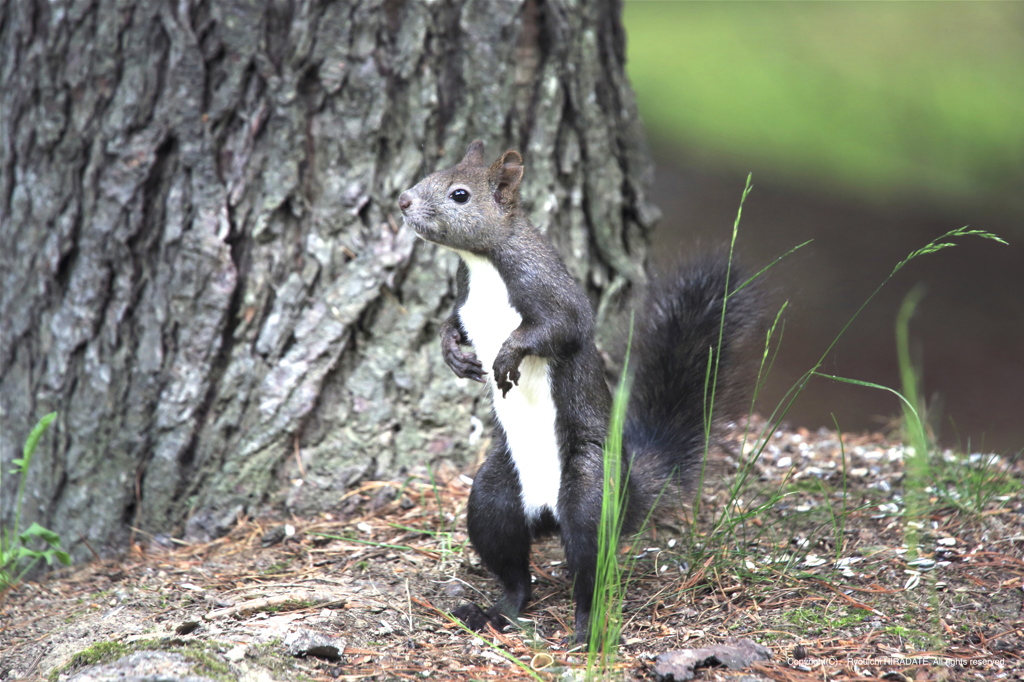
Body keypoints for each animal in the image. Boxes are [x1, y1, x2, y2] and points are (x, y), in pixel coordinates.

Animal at [395, 140, 765, 638]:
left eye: (459, 194)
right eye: (435, 170)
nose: (403, 201)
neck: (484, 262)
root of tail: (548, 512)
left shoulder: (550, 291)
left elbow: (561, 328)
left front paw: (506, 356)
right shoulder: (462, 299)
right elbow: (451, 322)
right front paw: (453, 353)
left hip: (591, 493)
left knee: (590, 567)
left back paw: (588, 629)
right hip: (493, 498)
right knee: (512, 569)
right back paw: (496, 611)